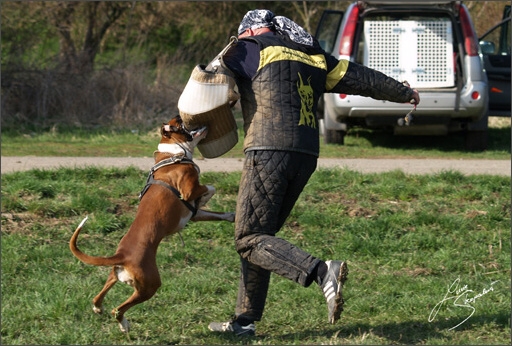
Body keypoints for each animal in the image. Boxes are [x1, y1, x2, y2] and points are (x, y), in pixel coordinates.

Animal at [69, 115, 235, 332]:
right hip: (150, 285)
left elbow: (217, 214)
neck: (172, 154)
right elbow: (210, 187)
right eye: (182, 122)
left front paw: (232, 215)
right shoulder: (189, 190)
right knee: (118, 309)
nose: (198, 122)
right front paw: (206, 196)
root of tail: (122, 256)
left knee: (100, 295)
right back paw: (124, 324)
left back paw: (99, 308)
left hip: (118, 276)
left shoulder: (194, 214)